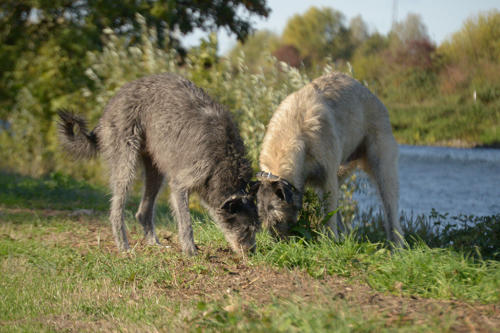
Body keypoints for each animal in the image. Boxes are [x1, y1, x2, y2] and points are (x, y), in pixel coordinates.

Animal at [59, 73, 258, 254]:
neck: (225, 159)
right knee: (116, 211)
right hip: (126, 162)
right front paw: (190, 251)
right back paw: (123, 246)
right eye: (245, 229)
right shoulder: (182, 183)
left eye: (256, 229)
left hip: (154, 168)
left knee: (143, 212)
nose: (252, 253)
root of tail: (111, 104)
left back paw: (154, 243)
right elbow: (186, 222)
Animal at [256, 72, 404, 244]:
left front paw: (330, 241)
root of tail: (371, 94)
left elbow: (329, 215)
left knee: (390, 205)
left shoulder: (327, 177)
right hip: (343, 167)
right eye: (263, 224)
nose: (278, 245)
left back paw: (396, 243)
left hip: (382, 165)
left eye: (278, 220)